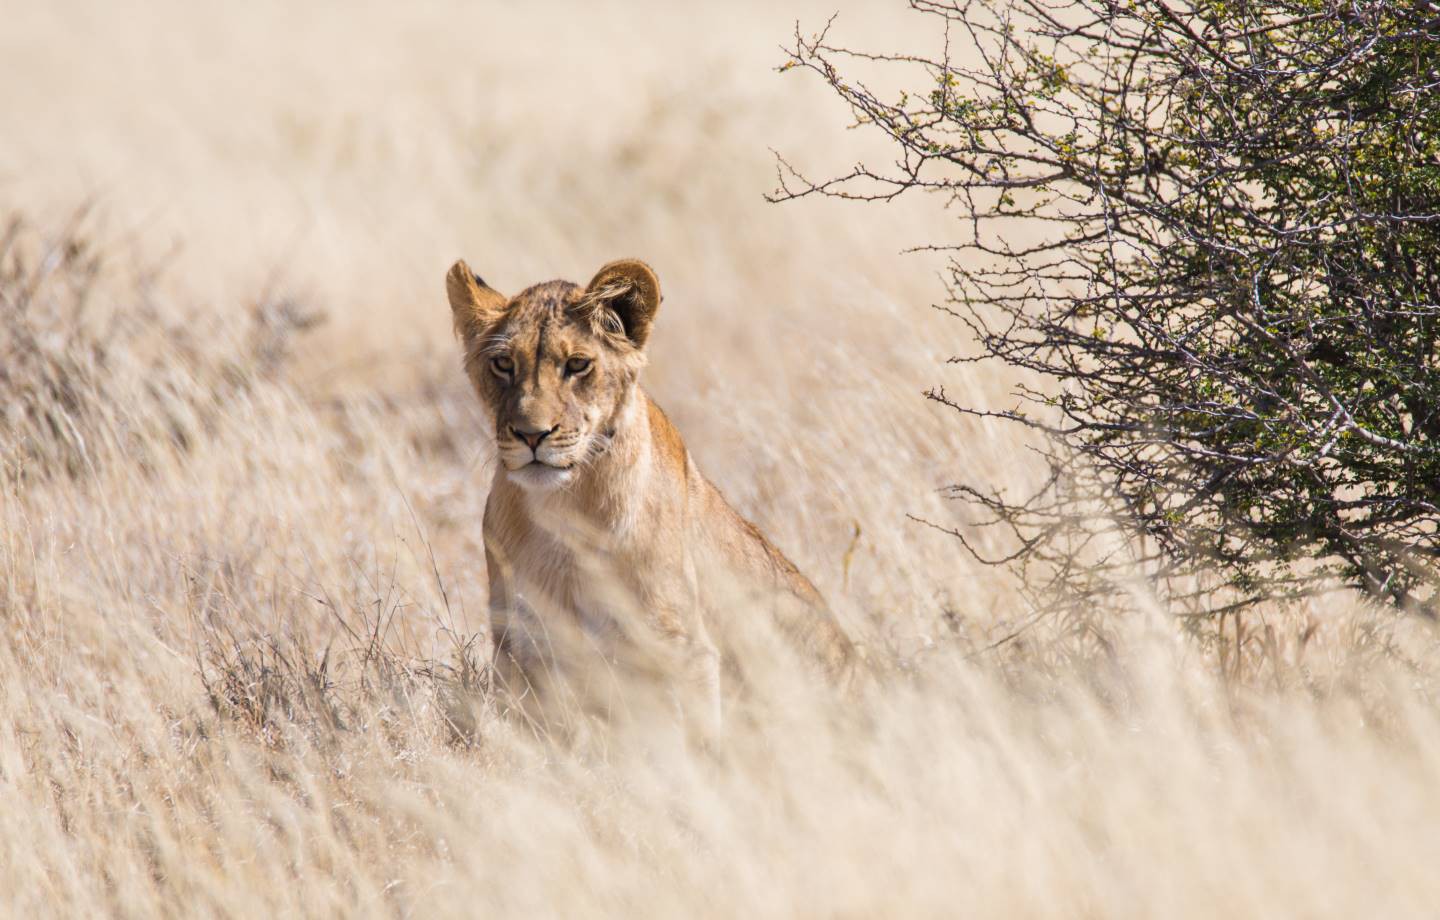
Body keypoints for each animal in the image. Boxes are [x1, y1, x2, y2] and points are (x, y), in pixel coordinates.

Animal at [443, 257, 852, 734]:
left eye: (577, 364)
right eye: (504, 363)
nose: (531, 435)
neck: (562, 511)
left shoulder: (683, 648)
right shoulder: (521, 648)